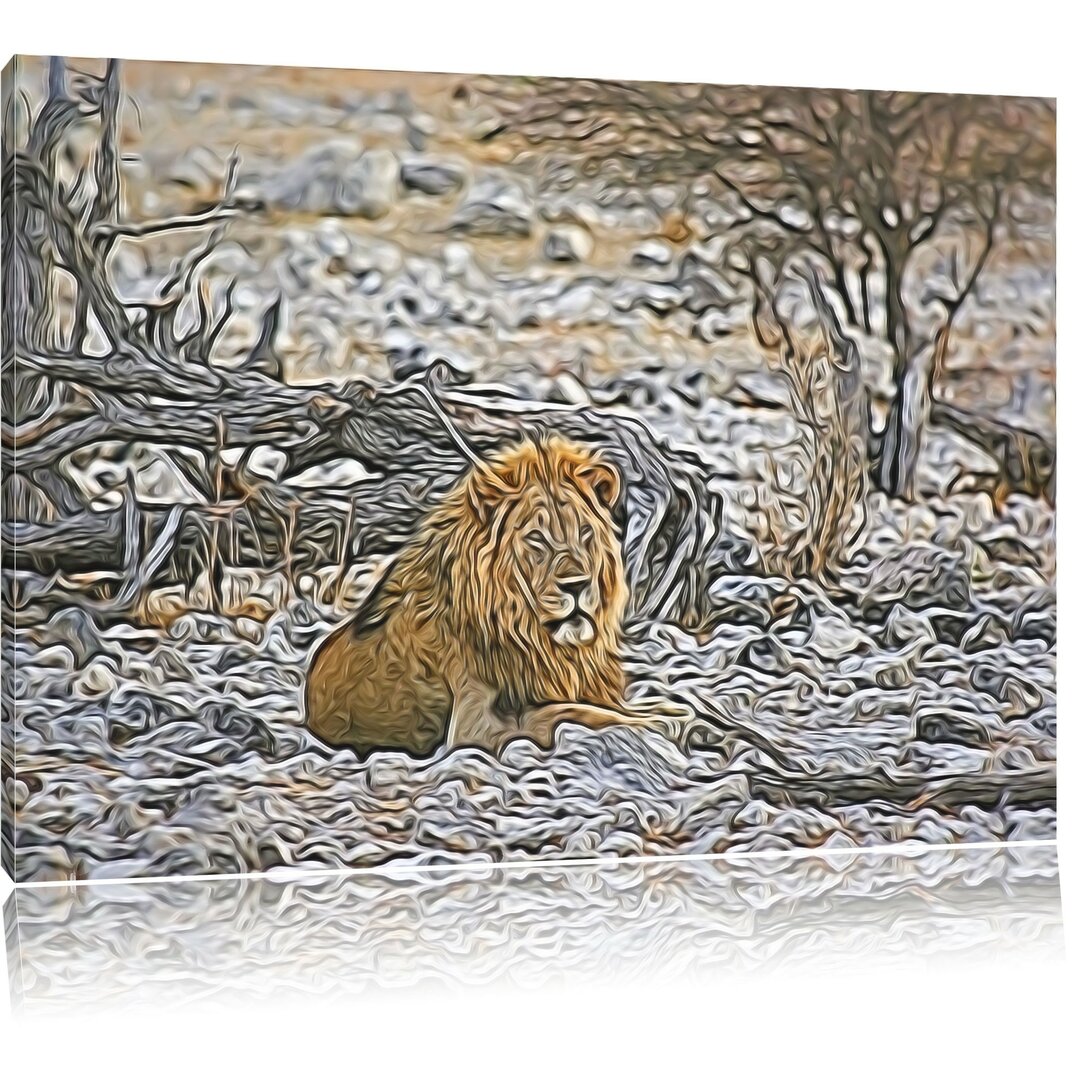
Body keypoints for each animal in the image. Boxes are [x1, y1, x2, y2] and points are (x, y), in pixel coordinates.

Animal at [300, 434, 660, 756]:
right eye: (536, 538)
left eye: (584, 532)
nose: (576, 585)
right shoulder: (471, 729)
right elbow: (563, 713)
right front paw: (659, 720)